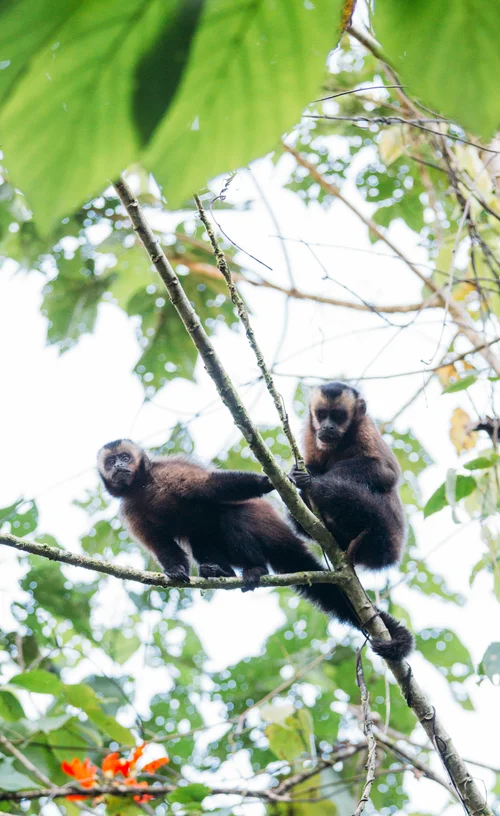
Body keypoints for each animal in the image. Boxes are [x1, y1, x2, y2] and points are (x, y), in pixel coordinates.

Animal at [97, 439, 411, 659]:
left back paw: (255, 568)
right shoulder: (130, 508)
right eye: (111, 461)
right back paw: (217, 570)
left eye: (125, 457)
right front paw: (175, 569)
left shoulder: (168, 473)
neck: (142, 486)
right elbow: (160, 543)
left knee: (232, 515)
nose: (119, 467)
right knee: (201, 537)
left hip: (270, 532)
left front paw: (270, 481)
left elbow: (212, 486)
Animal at [288, 381, 414, 660]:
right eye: (322, 414)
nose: (327, 427)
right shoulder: (310, 434)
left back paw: (320, 489)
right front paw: (301, 474)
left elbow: (386, 473)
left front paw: (313, 478)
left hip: (388, 534)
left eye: (338, 416)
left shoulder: (365, 428)